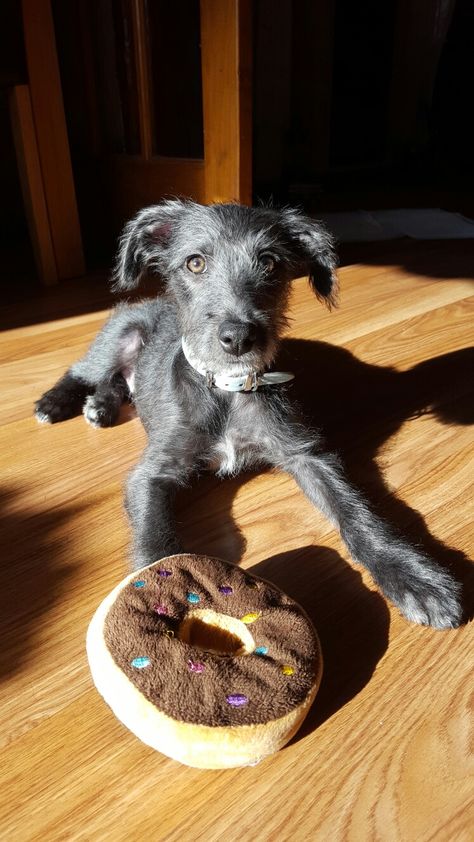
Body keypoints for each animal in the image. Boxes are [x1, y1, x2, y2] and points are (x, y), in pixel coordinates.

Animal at [36, 200, 462, 628]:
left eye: (270, 263)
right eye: (194, 263)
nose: (239, 338)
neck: (227, 387)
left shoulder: (304, 453)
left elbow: (355, 512)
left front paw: (412, 576)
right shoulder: (154, 471)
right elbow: (155, 540)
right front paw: (154, 591)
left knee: (118, 383)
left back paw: (101, 405)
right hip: (118, 336)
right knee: (86, 371)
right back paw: (56, 403)